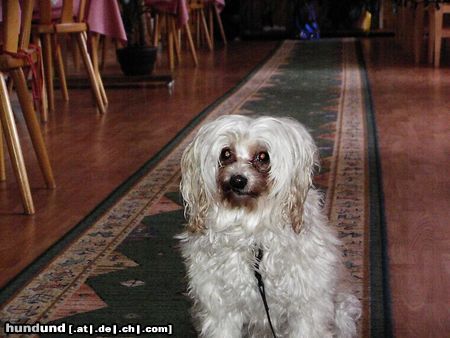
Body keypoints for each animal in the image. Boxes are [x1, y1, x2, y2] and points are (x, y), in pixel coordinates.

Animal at [178, 115, 360, 336]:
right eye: (226, 153)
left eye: (263, 156)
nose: (237, 180)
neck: (250, 232)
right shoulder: (221, 308)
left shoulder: (307, 307)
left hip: (342, 312)